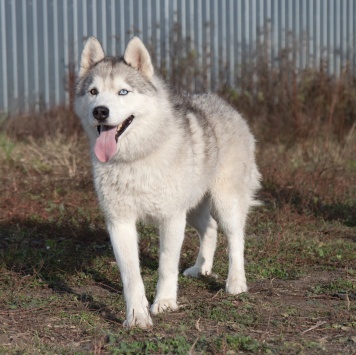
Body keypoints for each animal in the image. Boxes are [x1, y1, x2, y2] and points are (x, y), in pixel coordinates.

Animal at [73, 36, 260, 328]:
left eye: (123, 92)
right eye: (93, 91)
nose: (100, 112)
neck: (136, 159)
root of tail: (225, 104)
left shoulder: (171, 218)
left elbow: (166, 266)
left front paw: (164, 303)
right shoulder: (119, 222)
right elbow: (131, 277)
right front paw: (137, 317)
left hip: (223, 203)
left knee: (235, 237)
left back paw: (236, 283)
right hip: (192, 209)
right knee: (210, 229)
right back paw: (201, 268)